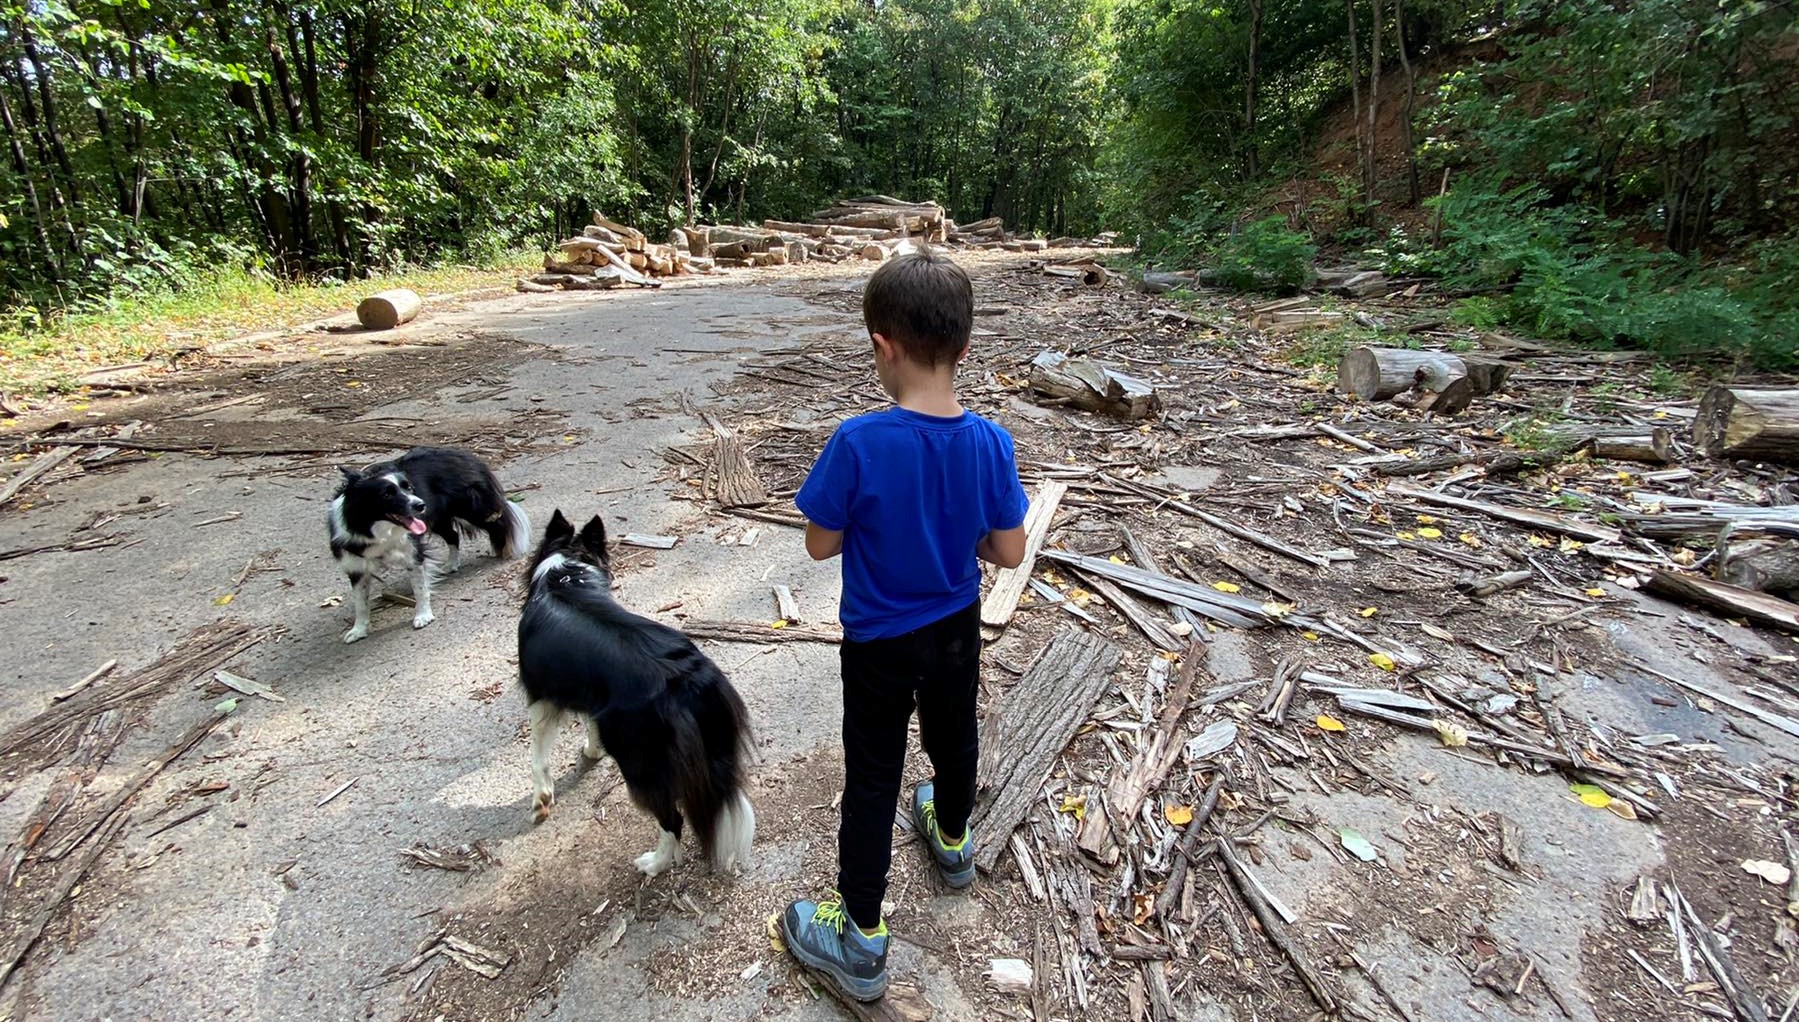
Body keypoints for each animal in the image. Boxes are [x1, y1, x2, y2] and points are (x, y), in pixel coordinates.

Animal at [329, 444, 525, 640]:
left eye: (409, 487)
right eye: (386, 494)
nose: (420, 505)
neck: (375, 529)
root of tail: (461, 452)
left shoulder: (412, 553)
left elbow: (420, 588)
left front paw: (423, 616)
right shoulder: (356, 566)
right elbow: (360, 603)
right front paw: (358, 630)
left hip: (472, 509)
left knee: (500, 522)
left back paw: (506, 550)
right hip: (439, 519)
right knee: (453, 535)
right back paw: (452, 564)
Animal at [518, 511, 755, 878]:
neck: (566, 574)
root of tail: (688, 677)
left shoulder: (541, 698)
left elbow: (537, 758)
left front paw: (541, 802)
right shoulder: (593, 695)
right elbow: (589, 724)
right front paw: (591, 751)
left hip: (639, 761)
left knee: (673, 818)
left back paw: (654, 863)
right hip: (716, 744)